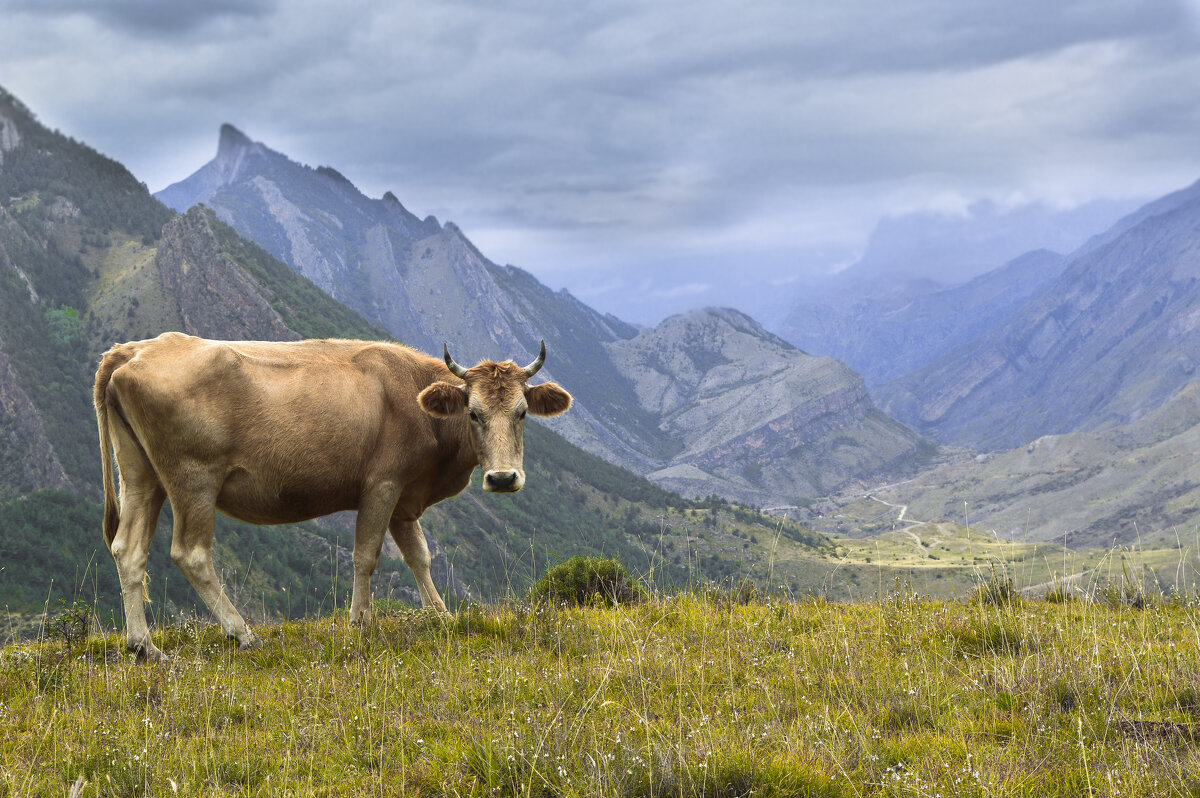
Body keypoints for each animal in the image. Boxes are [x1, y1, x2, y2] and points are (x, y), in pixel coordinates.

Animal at [93, 331, 571, 657]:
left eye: (522, 412)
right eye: (473, 412)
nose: (504, 478)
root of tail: (135, 349)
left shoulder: (404, 500)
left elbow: (420, 556)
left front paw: (442, 616)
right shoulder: (382, 484)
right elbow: (366, 555)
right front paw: (360, 621)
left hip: (141, 476)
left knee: (128, 550)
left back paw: (144, 646)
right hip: (194, 479)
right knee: (190, 553)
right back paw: (242, 632)